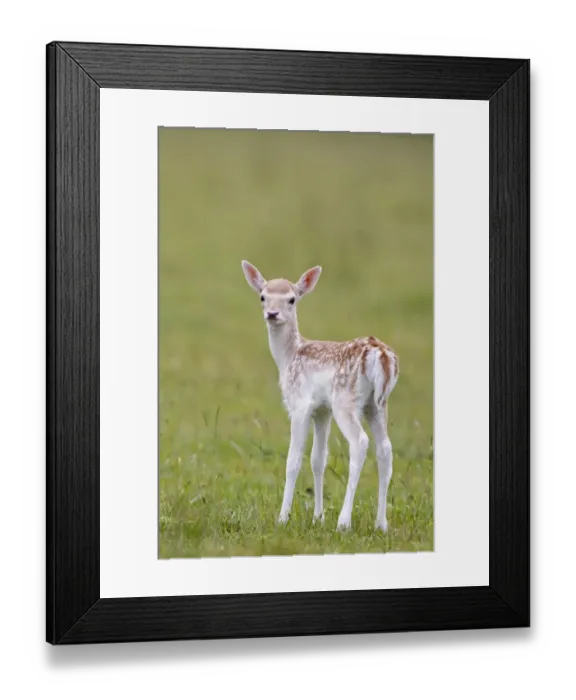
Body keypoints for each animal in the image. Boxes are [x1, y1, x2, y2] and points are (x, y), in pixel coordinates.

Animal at [241, 260, 399, 533]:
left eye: (292, 299)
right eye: (262, 296)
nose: (272, 314)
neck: (287, 358)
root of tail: (381, 355)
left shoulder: (300, 404)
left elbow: (293, 459)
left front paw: (283, 518)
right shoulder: (322, 411)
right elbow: (318, 459)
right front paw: (318, 517)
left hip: (345, 400)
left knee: (360, 442)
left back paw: (344, 522)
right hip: (376, 404)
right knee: (385, 448)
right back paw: (381, 524)